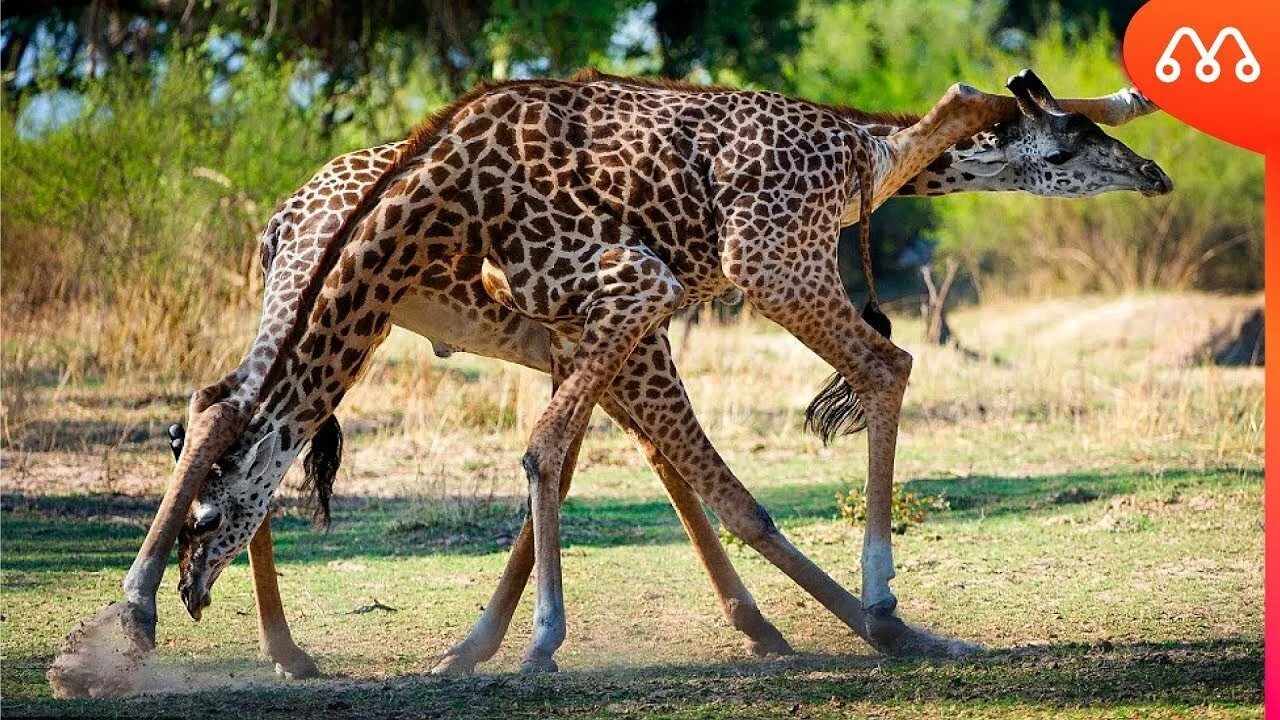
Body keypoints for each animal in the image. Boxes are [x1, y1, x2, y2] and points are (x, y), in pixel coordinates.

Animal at [115, 65, 1167, 671]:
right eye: (1074, 149)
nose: (1151, 172)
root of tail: (280, 215)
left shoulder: (602, 329)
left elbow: (620, 464)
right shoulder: (646, 300)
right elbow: (676, 473)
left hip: (338, 312)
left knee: (225, 406)